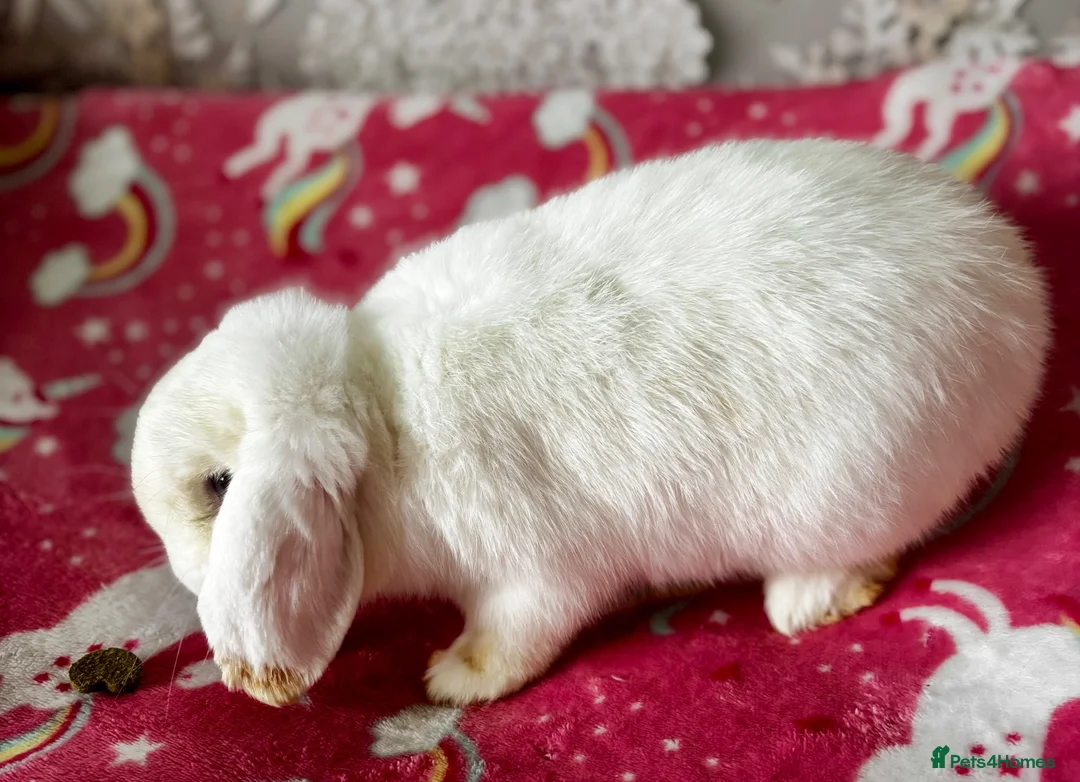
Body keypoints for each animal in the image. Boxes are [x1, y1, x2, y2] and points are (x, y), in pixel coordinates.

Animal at [130, 139, 1051, 708]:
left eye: (219, 486)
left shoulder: (528, 573)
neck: (378, 415)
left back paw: (805, 603)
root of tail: (1017, 295)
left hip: (851, 489)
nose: (180, 575)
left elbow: (512, 636)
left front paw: (451, 678)